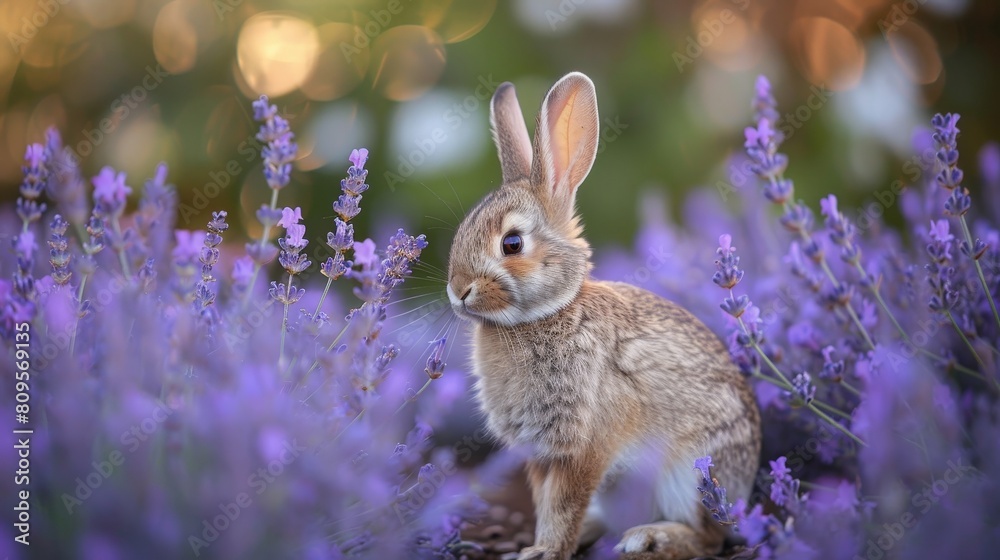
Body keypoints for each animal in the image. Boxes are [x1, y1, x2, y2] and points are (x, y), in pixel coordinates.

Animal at [446, 72, 761, 560]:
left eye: (512, 243)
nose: (458, 290)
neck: (546, 314)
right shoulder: (540, 454)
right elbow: (547, 502)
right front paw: (540, 546)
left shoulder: (585, 446)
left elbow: (563, 504)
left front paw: (544, 551)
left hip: (689, 476)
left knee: (708, 537)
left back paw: (650, 537)